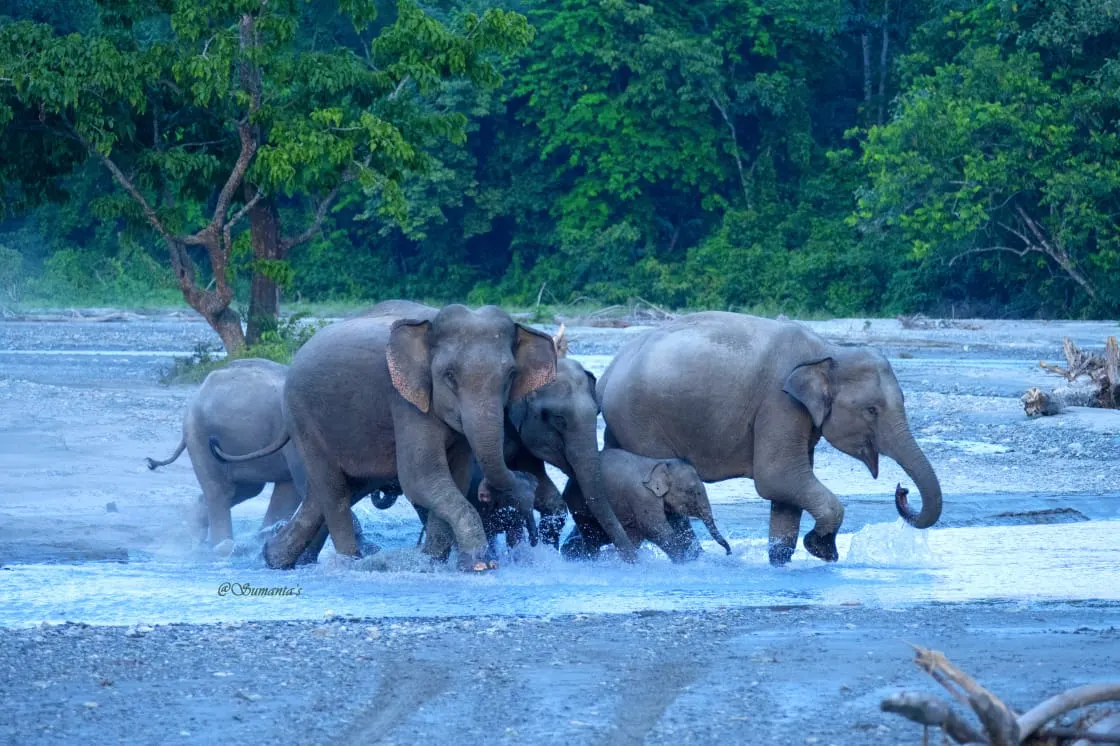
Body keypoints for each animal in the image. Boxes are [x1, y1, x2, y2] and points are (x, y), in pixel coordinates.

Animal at [146, 358, 397, 553]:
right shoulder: (299, 433)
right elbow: (314, 486)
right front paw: (369, 547)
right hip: (198, 434)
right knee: (221, 491)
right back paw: (220, 545)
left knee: (248, 490)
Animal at [210, 301, 576, 572]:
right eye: (449, 375)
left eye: (511, 375)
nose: (525, 485)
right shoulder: (404, 401)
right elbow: (421, 477)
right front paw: (477, 564)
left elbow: (453, 477)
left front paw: (434, 562)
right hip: (304, 418)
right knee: (332, 490)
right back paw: (349, 562)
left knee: (327, 492)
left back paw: (274, 557)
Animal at [560, 448, 732, 562]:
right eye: (692, 491)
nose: (728, 553)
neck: (661, 463)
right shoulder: (642, 496)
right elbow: (654, 527)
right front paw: (683, 561)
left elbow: (679, 525)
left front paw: (693, 558)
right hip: (579, 504)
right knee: (593, 535)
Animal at [597, 312, 943, 566]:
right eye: (872, 410)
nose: (901, 489)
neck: (829, 351)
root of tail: (606, 375)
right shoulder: (779, 405)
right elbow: (778, 477)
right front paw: (822, 549)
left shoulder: (798, 417)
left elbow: (787, 493)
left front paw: (781, 562)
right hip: (640, 421)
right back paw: (694, 560)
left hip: (625, 423)